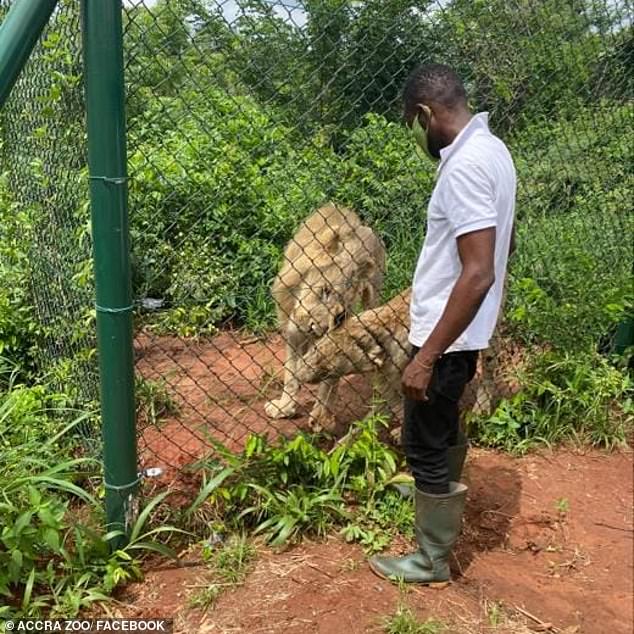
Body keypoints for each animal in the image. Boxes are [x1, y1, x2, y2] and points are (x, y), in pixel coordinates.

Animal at [262, 205, 382, 428]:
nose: (314, 328)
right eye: (325, 290)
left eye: (339, 313)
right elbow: (290, 374)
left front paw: (321, 416)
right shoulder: (293, 333)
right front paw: (284, 408)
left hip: (374, 294)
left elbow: (331, 377)